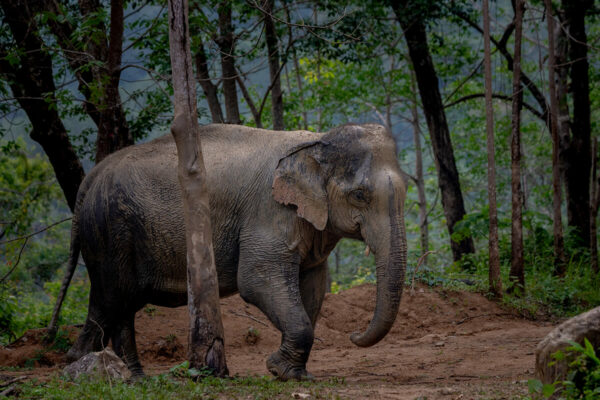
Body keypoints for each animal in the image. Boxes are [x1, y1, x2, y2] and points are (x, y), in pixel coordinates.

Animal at [49, 123, 408, 380]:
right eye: (359, 195)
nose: (354, 334)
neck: (317, 140)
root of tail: (91, 178)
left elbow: (313, 284)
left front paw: (293, 373)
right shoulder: (269, 211)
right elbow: (256, 279)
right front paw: (279, 370)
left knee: (121, 304)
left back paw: (132, 377)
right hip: (109, 231)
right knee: (112, 297)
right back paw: (84, 366)